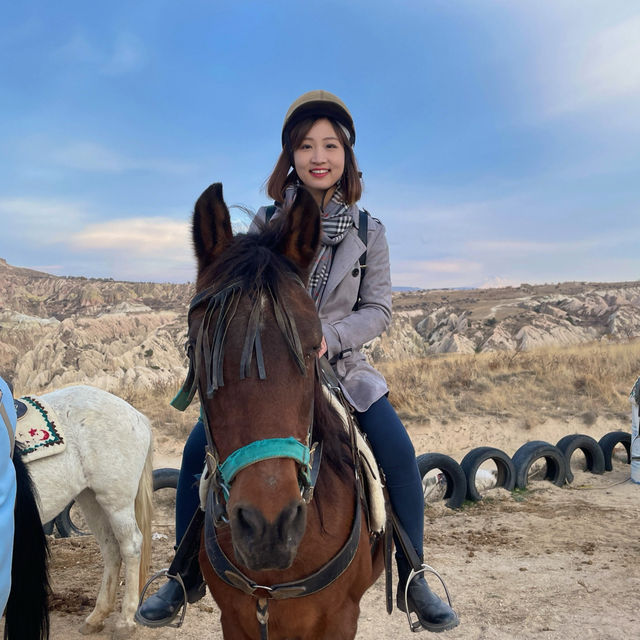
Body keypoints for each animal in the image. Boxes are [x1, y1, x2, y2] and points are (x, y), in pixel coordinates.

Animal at [25, 384, 154, 640]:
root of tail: (136, 415)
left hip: (116, 502)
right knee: (111, 549)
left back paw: (125, 621)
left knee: (131, 546)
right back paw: (97, 617)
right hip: (90, 501)